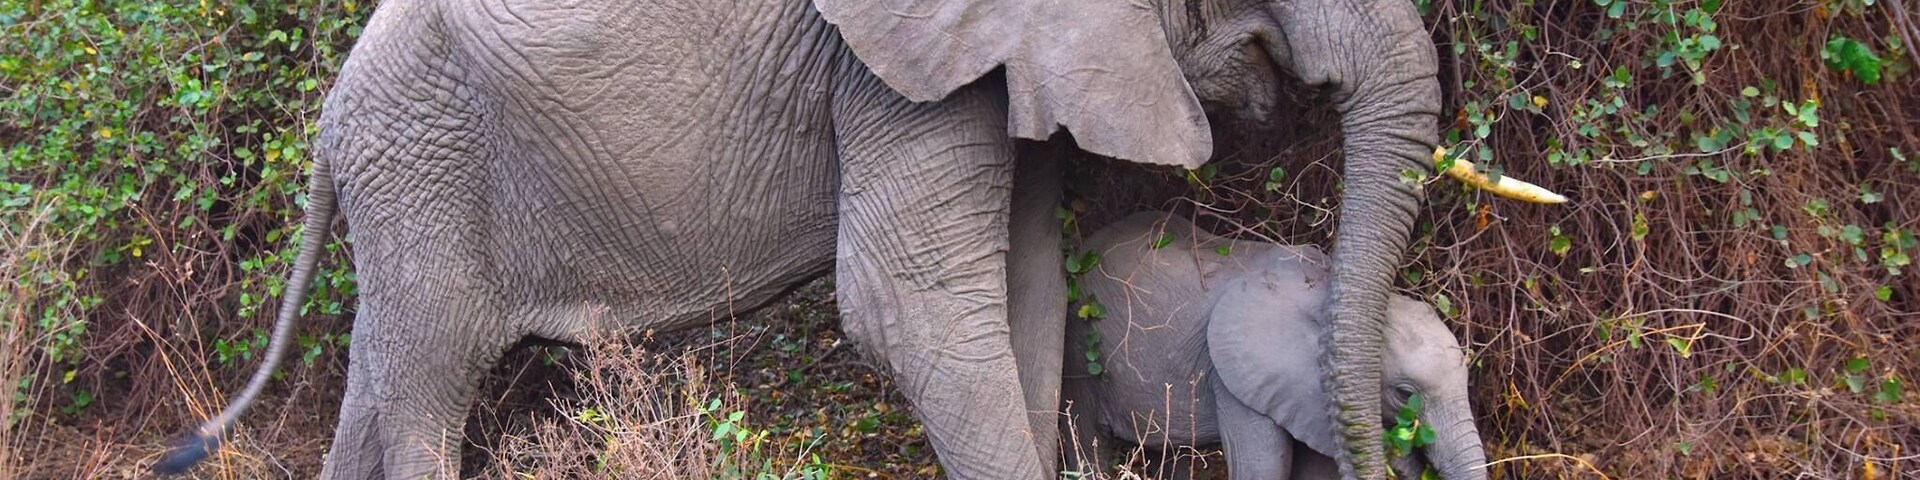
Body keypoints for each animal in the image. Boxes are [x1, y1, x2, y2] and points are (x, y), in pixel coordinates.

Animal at [1059, 212, 1486, 480]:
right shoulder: (1234, 376)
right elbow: (1263, 467)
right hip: (1079, 345)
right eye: (1404, 393)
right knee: (1084, 437)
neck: (1329, 294)